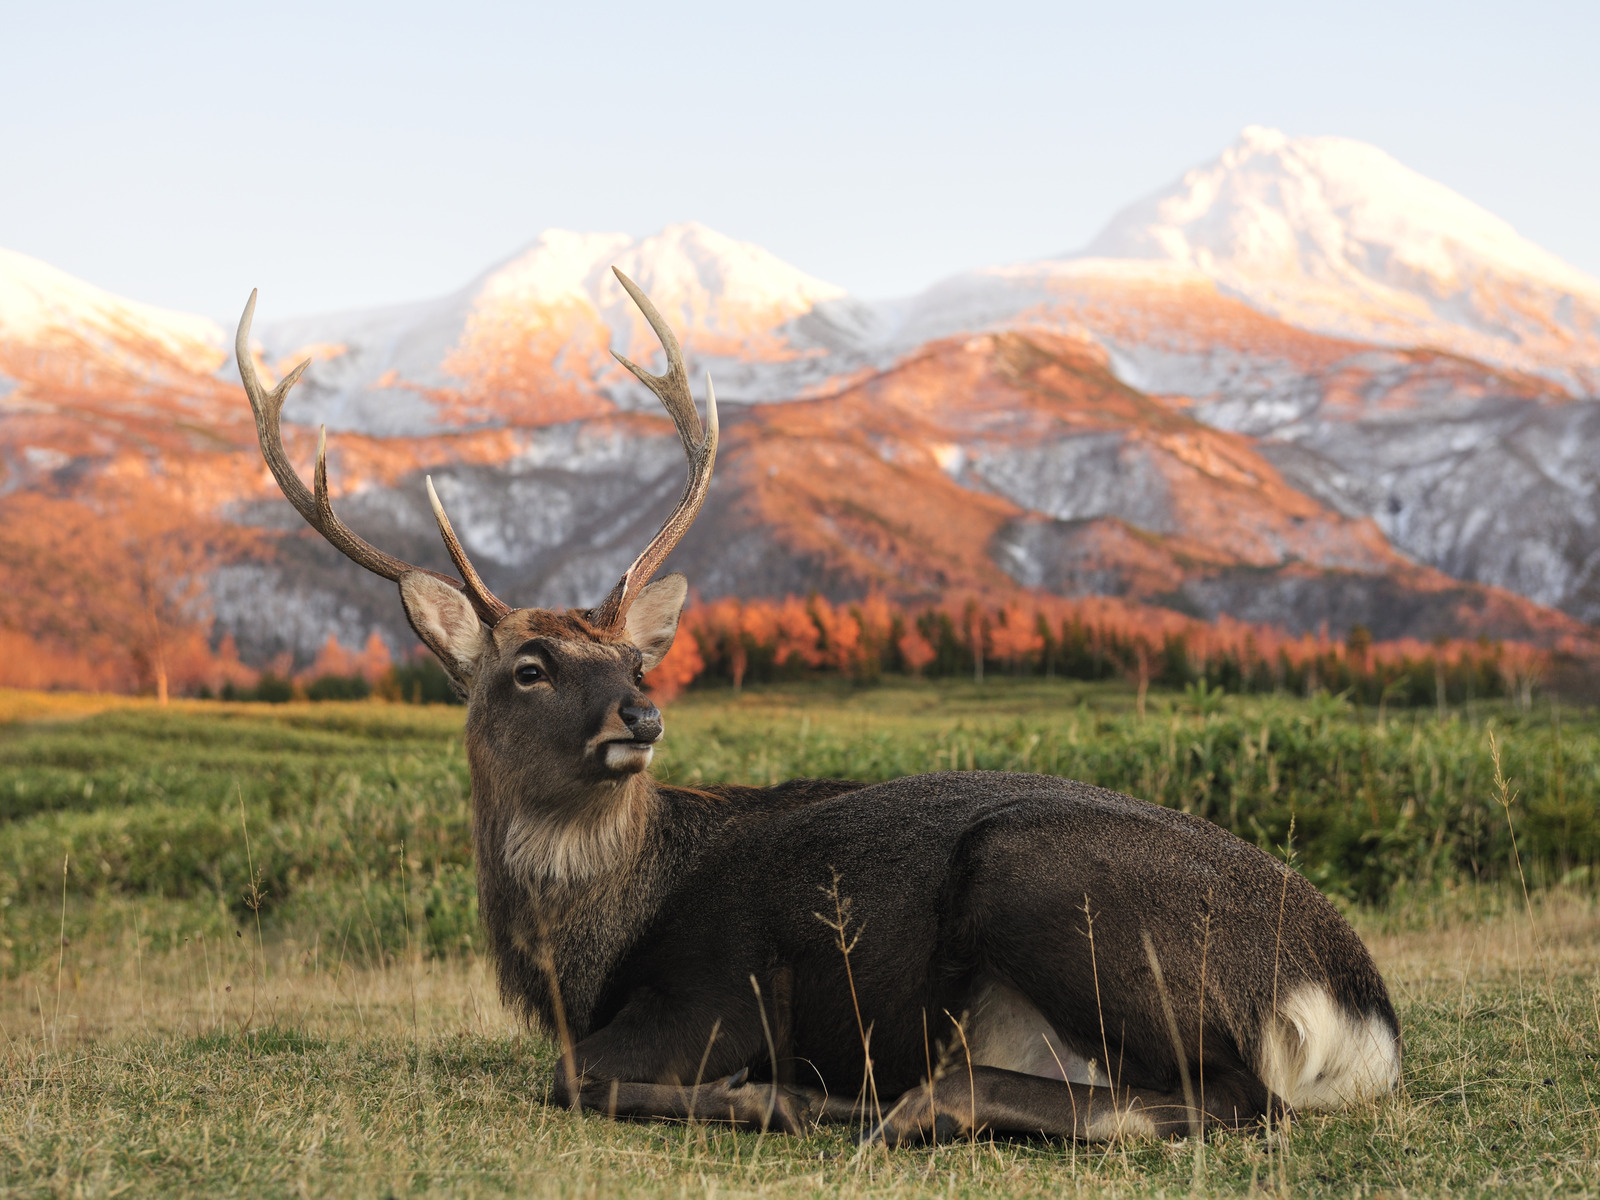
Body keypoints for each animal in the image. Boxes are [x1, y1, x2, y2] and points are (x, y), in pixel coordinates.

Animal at [234, 273, 1400, 1144]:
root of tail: (1357, 1011)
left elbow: (570, 1077)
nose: (638, 719)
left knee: (1233, 1098)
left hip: (1045, 880)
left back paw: (883, 1102)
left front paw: (770, 1094)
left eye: (635, 660)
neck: (585, 955)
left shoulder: (713, 992)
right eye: (527, 667)